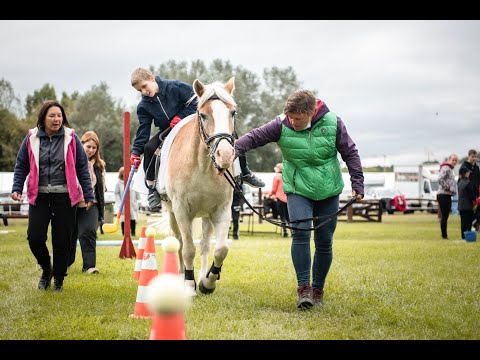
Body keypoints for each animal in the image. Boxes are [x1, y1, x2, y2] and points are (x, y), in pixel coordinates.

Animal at [161, 78, 236, 296]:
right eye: (203, 115)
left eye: (232, 113)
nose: (225, 155)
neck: (202, 165)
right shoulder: (181, 210)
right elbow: (187, 249)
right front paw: (188, 285)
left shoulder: (221, 210)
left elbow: (220, 249)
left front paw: (208, 282)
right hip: (173, 214)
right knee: (179, 242)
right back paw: (181, 277)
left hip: (206, 216)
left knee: (204, 245)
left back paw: (203, 276)